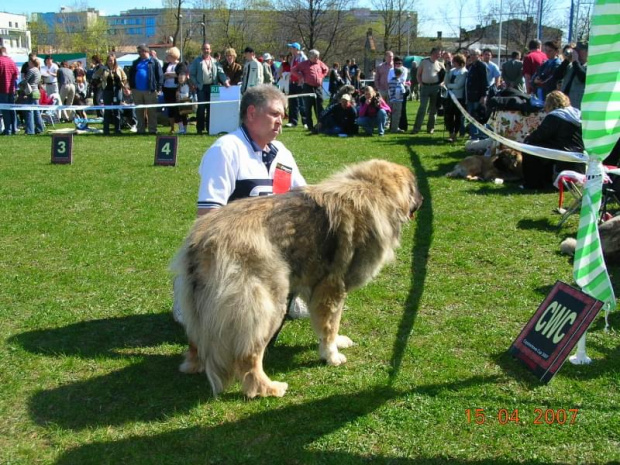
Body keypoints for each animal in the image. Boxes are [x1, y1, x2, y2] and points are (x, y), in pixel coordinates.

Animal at [172, 159, 424, 396]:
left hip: (198, 305)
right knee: (249, 356)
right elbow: (330, 325)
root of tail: (204, 240)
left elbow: (329, 326)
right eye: (416, 188)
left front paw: (336, 343)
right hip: (269, 307)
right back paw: (268, 388)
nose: (422, 199)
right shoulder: (332, 288)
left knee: (196, 340)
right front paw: (332, 356)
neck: (372, 188)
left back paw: (195, 364)